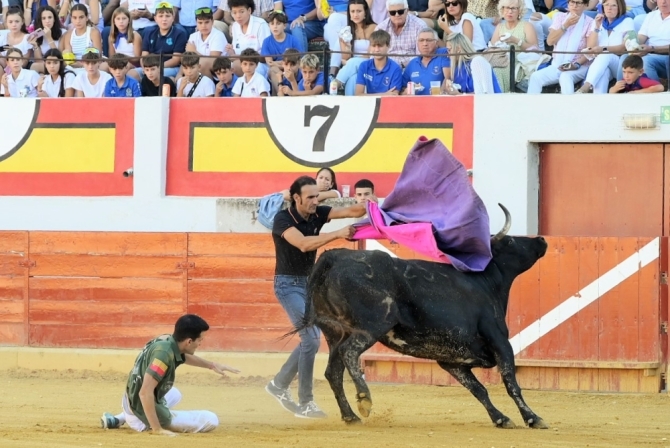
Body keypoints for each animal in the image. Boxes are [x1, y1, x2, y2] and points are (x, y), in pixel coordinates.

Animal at [294, 205, 552, 428]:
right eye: (510, 240)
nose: (541, 239)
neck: (485, 282)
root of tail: (335, 256)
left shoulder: (451, 360)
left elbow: (478, 389)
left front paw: (500, 418)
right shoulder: (500, 341)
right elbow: (511, 382)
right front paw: (533, 418)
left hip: (335, 333)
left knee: (333, 371)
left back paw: (350, 416)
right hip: (373, 325)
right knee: (349, 353)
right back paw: (364, 398)